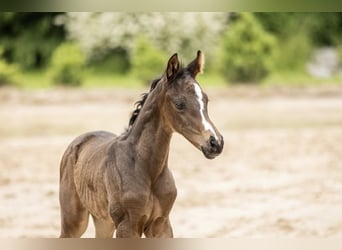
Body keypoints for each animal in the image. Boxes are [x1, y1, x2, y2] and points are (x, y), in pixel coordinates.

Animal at [58, 50, 224, 238]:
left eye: (206, 100)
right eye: (179, 104)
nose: (215, 143)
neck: (146, 168)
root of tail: (78, 141)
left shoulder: (161, 224)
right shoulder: (127, 226)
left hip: (104, 221)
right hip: (74, 220)